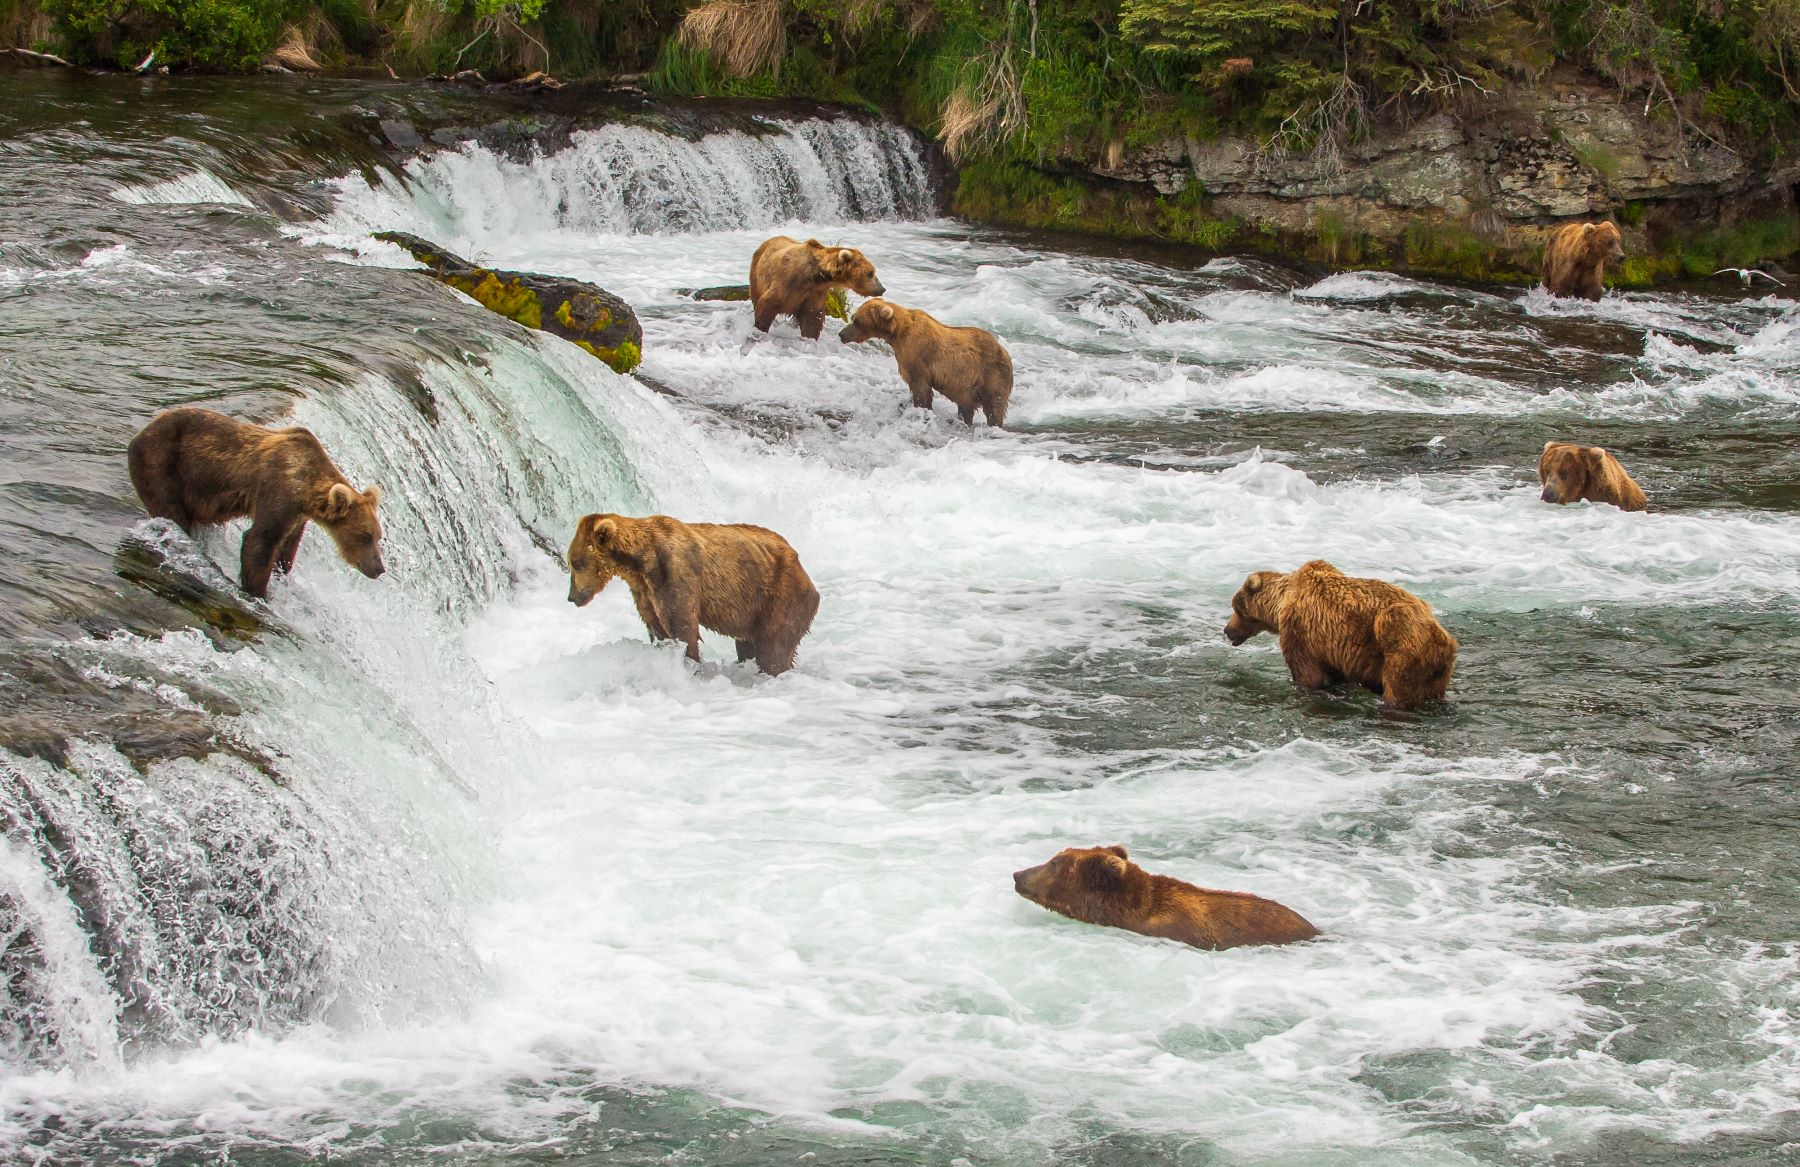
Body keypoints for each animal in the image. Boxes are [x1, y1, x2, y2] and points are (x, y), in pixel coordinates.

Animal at [127, 407, 386, 600]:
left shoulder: (297, 515)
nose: (379, 569)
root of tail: (140, 433)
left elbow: (287, 548)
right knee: (171, 510)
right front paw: (259, 592)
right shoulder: (278, 492)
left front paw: (281, 573)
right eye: (365, 536)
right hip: (163, 465)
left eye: (378, 536)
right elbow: (260, 542)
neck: (306, 490)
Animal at [565, 512, 819, 676]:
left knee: (773, 647)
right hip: (752, 611)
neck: (640, 561)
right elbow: (657, 628)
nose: (572, 596)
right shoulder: (644, 591)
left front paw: (689, 663)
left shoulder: (675, 575)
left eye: (576, 563)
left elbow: (683, 628)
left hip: (780, 596)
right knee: (747, 645)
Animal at [748, 236, 885, 340]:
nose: (882, 289)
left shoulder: (815, 293)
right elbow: (767, 306)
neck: (813, 277)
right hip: (756, 276)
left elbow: (812, 319)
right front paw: (760, 329)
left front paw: (809, 337)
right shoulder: (786, 284)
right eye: (870, 273)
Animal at [837, 299, 1013, 427]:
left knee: (994, 405)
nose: (841, 334)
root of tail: (1005, 351)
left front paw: (921, 409)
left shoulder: (918, 356)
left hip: (990, 373)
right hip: (967, 386)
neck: (897, 334)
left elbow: (921, 388)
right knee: (966, 405)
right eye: (853, 317)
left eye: (857, 320)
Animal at [1224, 559, 1456, 711]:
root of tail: (1442, 637)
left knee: (1398, 688)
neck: (1280, 602)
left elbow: (1307, 673)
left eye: (1236, 608)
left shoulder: (1299, 630)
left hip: (1400, 644)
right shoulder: (1332, 647)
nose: (1227, 630)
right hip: (1436, 670)